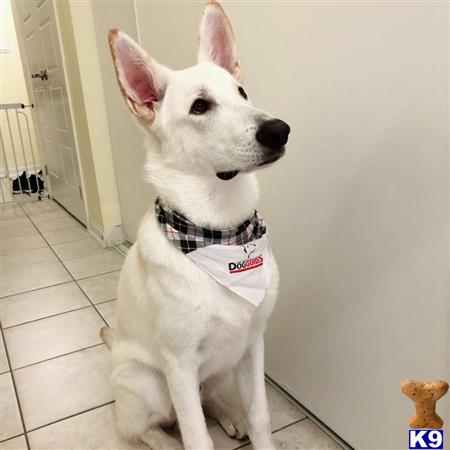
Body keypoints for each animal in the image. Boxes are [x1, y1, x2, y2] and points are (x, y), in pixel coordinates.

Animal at [101, 1, 290, 448]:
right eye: (200, 107)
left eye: (241, 92)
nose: (279, 130)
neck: (222, 232)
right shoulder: (180, 367)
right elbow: (196, 436)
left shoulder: (253, 346)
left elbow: (260, 417)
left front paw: (251, 426)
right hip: (148, 381)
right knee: (143, 428)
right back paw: (163, 439)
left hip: (224, 366)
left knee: (209, 400)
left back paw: (230, 417)